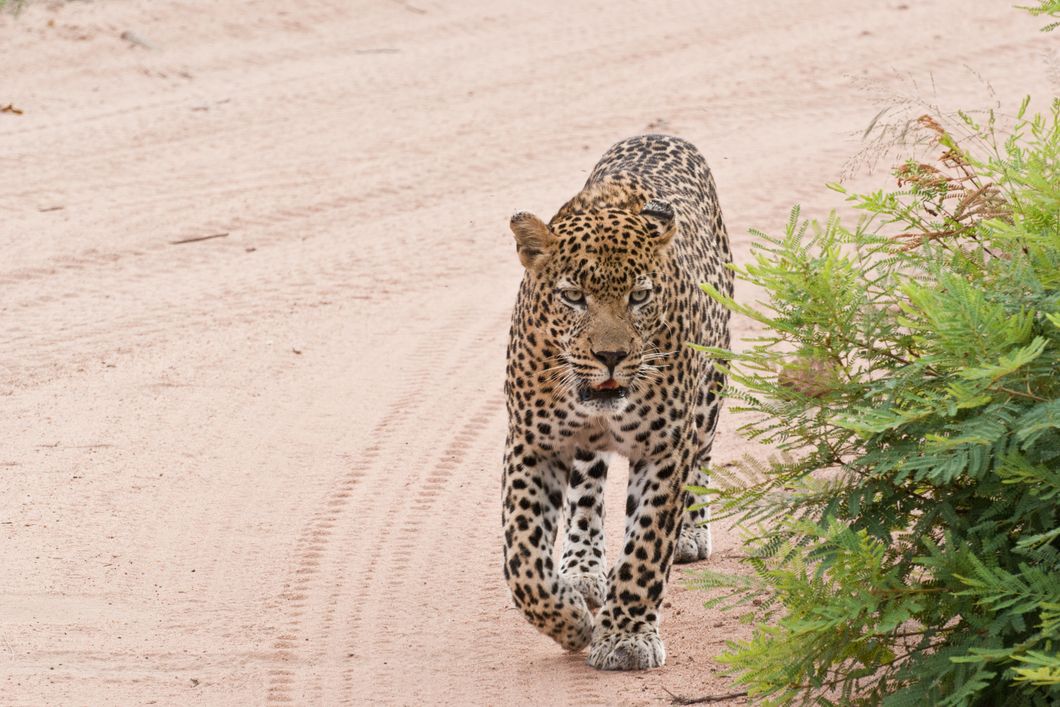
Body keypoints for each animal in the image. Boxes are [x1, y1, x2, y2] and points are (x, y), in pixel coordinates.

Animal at [501, 134, 733, 670]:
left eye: (640, 296)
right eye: (573, 296)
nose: (611, 356)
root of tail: (659, 135)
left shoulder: (665, 449)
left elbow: (645, 548)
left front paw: (625, 636)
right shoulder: (531, 442)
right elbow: (523, 558)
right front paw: (570, 619)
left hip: (711, 388)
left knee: (702, 457)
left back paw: (691, 534)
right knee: (585, 493)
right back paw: (582, 569)